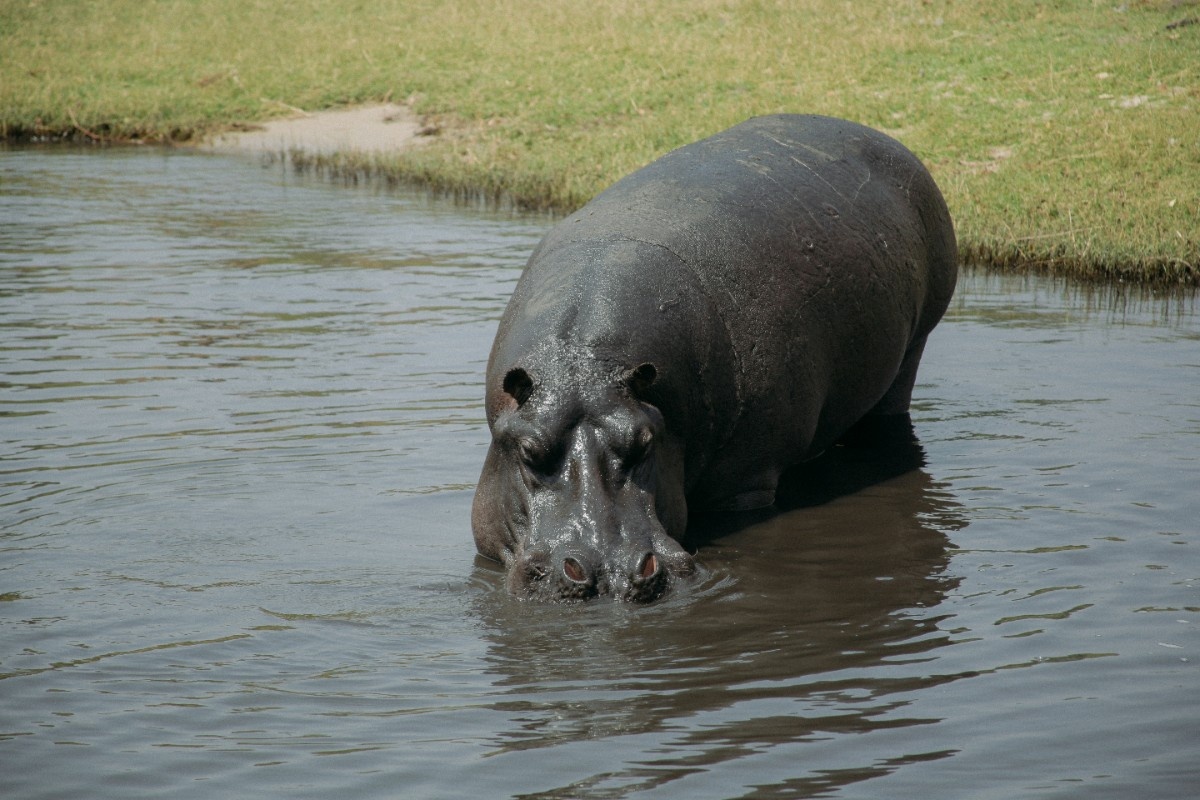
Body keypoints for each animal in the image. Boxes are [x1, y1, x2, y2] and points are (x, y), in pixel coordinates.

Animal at [468, 112, 955, 599]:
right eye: (528, 449)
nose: (610, 571)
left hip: (914, 347)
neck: (582, 368)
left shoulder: (746, 483)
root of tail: (886, 139)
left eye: (645, 440)